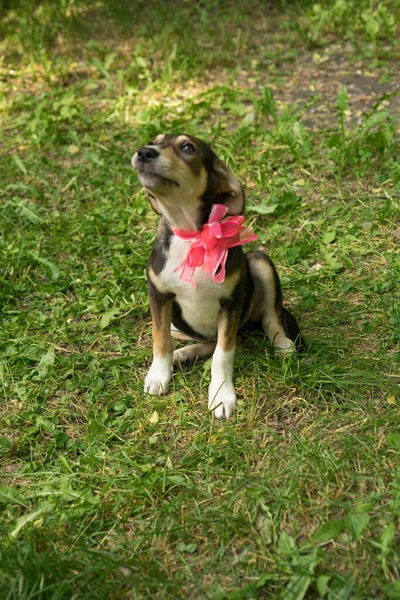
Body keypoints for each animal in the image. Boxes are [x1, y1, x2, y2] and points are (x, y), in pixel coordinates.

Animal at [133, 134, 302, 420]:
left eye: (187, 147)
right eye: (153, 141)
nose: (144, 152)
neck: (192, 235)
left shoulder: (231, 301)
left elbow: (224, 352)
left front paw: (221, 395)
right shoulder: (158, 292)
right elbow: (160, 339)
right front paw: (158, 375)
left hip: (259, 263)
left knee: (269, 319)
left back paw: (283, 345)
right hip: (179, 324)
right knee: (198, 339)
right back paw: (182, 354)